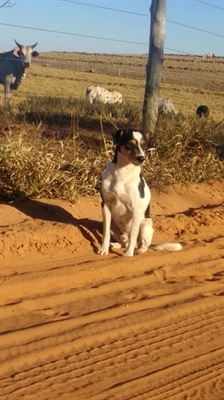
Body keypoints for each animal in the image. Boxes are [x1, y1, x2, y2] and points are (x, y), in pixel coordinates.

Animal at [98, 130, 182, 258]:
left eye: (144, 145)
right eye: (130, 144)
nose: (141, 158)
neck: (122, 172)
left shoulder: (135, 210)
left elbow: (133, 234)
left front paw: (128, 254)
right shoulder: (106, 205)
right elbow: (105, 232)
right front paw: (104, 249)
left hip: (144, 226)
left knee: (141, 244)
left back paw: (138, 250)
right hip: (113, 223)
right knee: (124, 241)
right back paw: (116, 245)